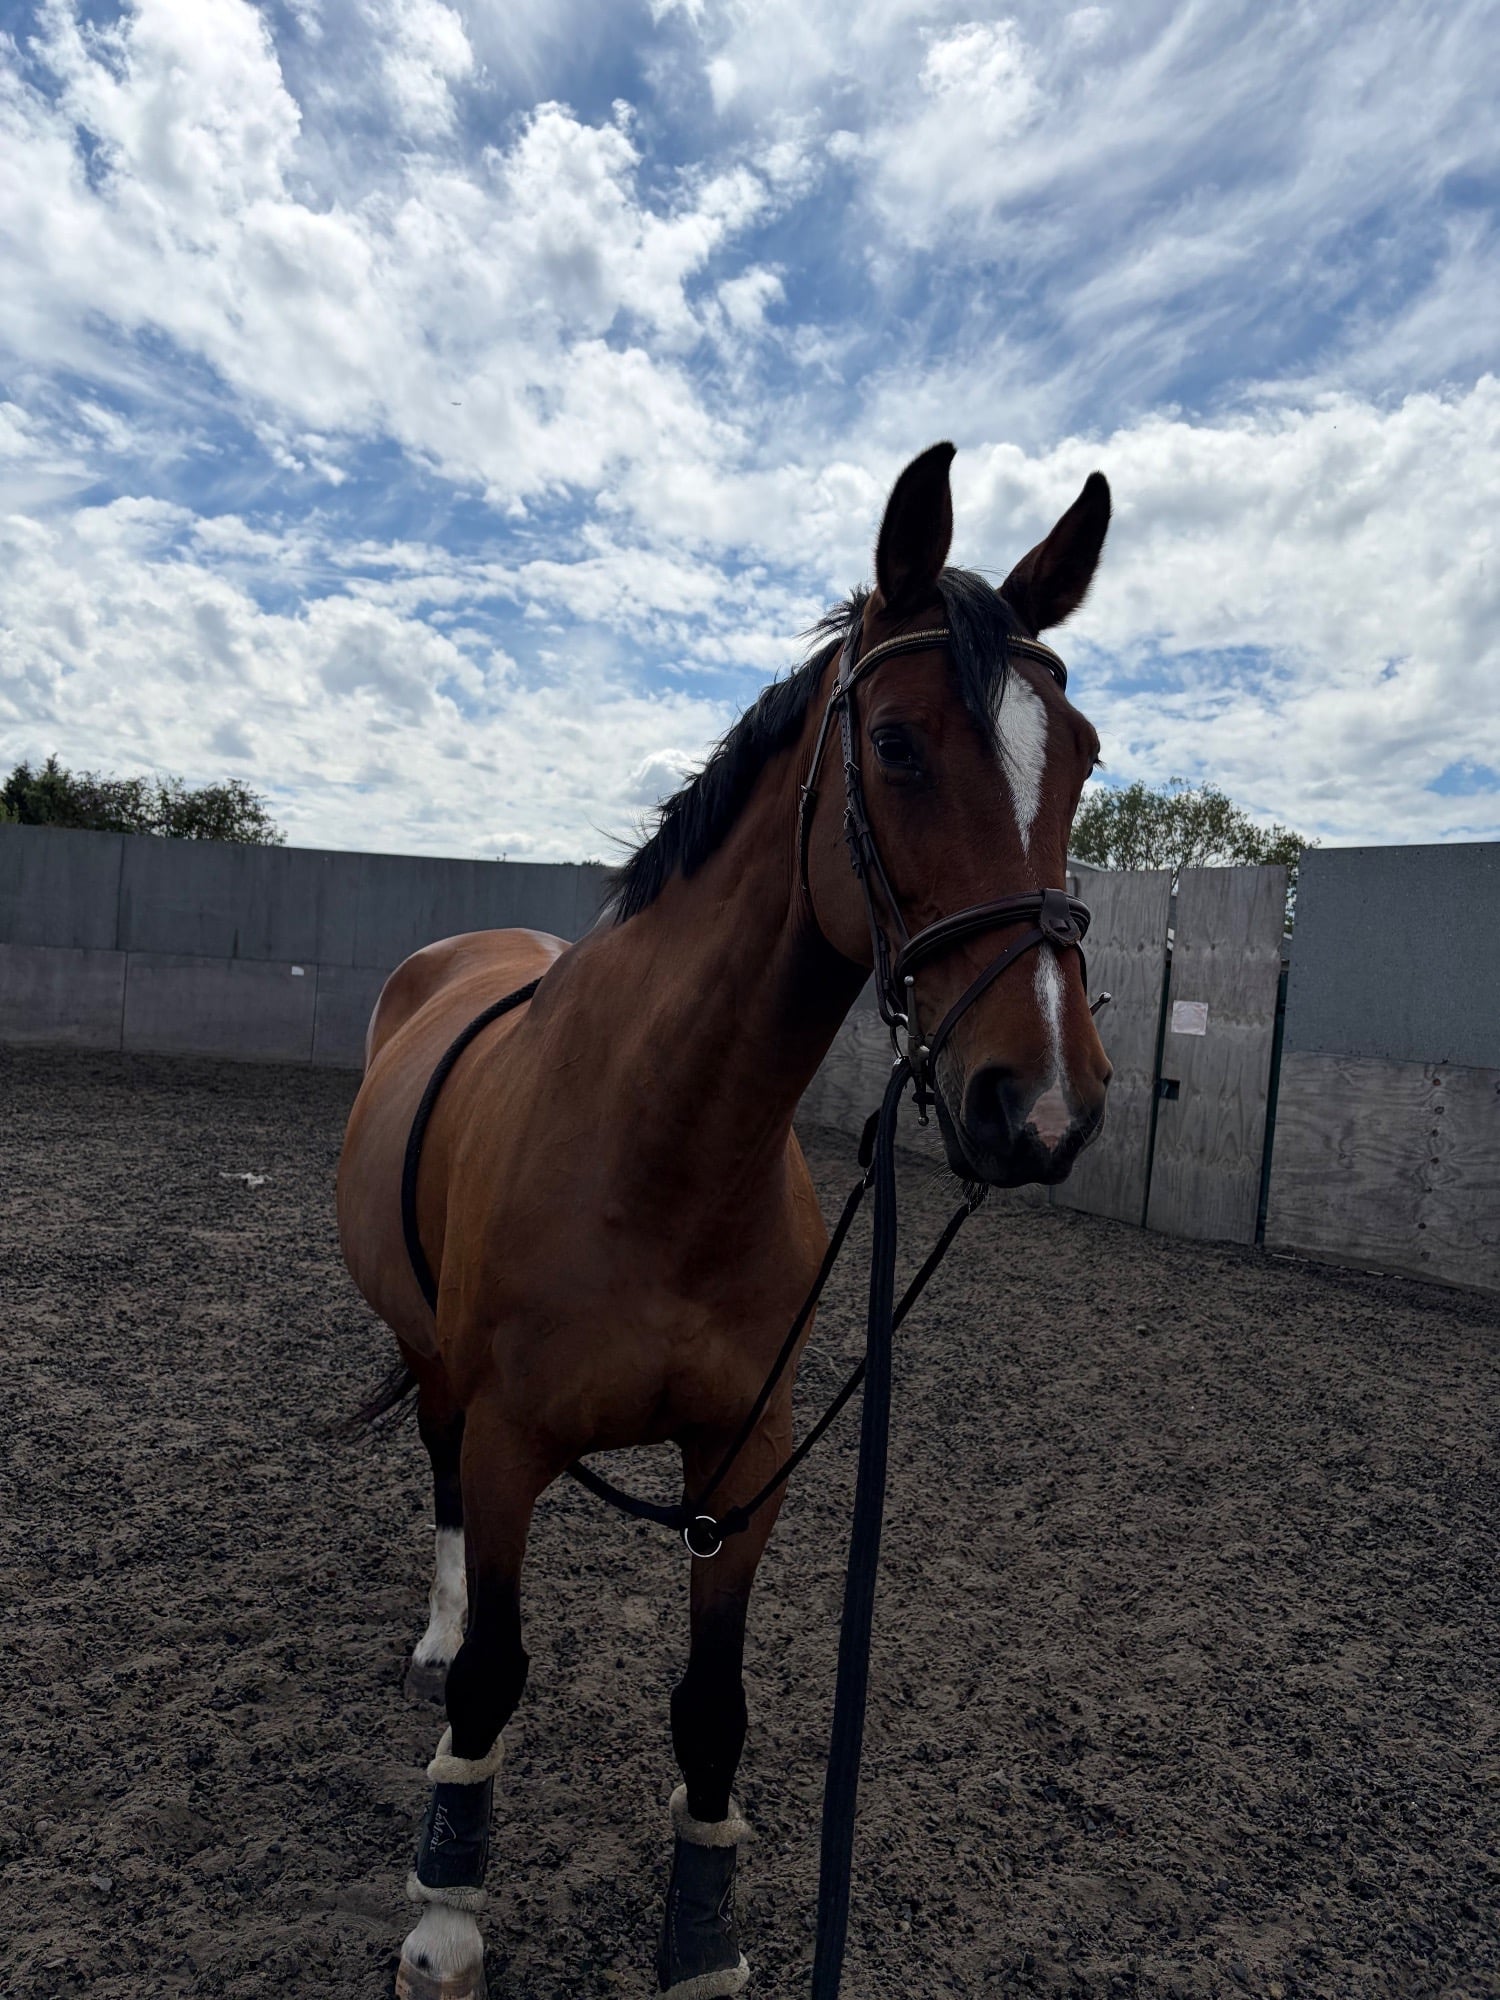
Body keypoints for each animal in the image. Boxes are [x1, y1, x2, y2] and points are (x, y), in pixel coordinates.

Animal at [336, 441, 1113, 2000]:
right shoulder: (512, 1441)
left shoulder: (743, 1462)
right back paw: (438, 1640)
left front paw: (699, 1937)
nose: (1045, 1102)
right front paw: (446, 1913)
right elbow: (500, 1667)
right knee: (439, 1480)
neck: (662, 1151)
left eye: (1083, 755)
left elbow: (714, 1704)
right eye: (898, 746)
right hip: (439, 1363)